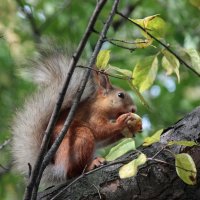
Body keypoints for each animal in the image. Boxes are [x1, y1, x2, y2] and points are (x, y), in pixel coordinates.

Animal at [11, 48, 141, 184]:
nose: (134, 109)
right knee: (74, 171)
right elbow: (100, 130)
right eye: (120, 95)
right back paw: (92, 164)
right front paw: (122, 122)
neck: (100, 105)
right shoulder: (93, 114)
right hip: (80, 137)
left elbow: (103, 139)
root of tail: (59, 168)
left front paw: (130, 128)